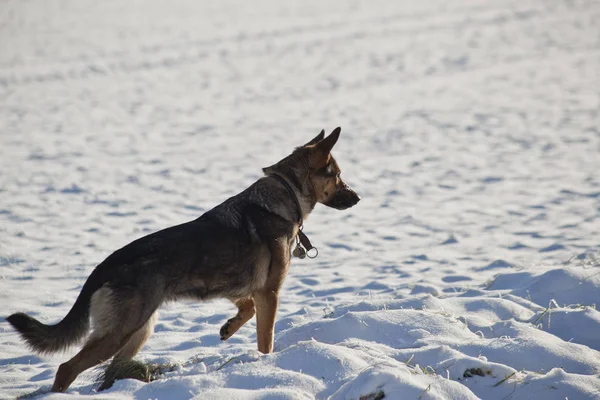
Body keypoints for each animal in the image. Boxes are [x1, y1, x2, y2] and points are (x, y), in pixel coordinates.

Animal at [7, 127, 358, 390]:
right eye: (338, 175)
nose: (357, 197)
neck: (284, 192)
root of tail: (103, 266)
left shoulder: (241, 287)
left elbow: (246, 308)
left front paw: (228, 328)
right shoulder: (269, 292)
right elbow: (265, 338)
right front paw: (266, 365)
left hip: (139, 331)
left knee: (111, 371)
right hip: (121, 332)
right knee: (67, 368)